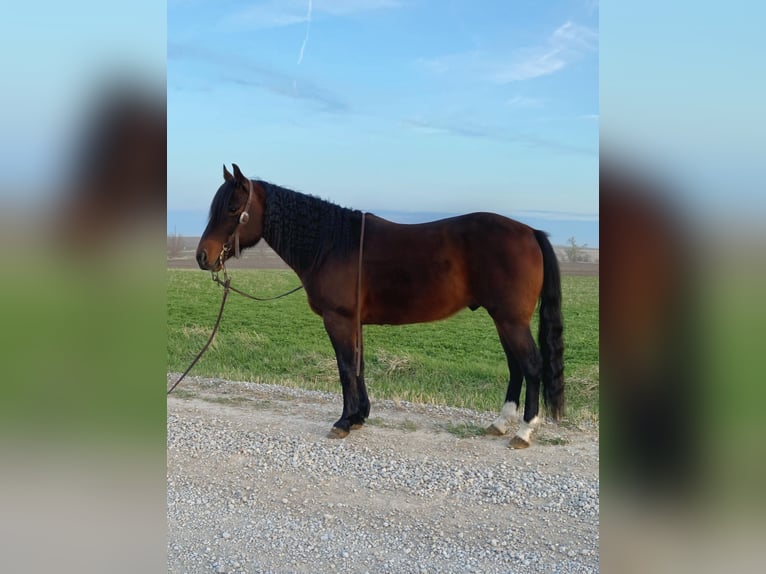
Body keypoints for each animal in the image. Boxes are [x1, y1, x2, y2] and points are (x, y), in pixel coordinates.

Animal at [195, 164, 564, 448]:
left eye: (232, 208)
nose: (203, 256)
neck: (330, 244)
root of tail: (530, 232)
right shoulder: (353, 322)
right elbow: (358, 367)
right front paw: (359, 417)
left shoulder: (338, 319)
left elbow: (345, 368)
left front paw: (343, 422)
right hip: (503, 319)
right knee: (516, 367)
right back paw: (501, 423)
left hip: (511, 320)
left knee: (531, 366)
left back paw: (523, 431)